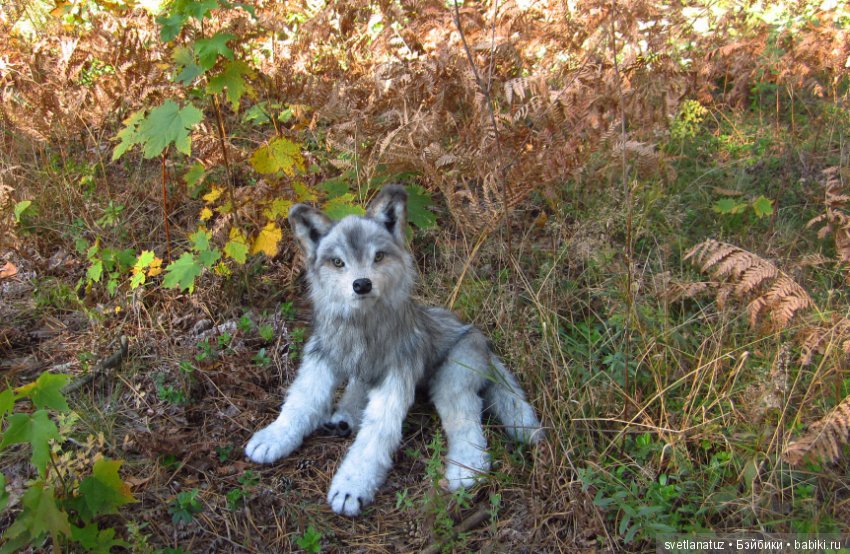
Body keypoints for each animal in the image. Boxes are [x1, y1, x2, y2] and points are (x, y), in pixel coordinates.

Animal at [245, 185, 542, 516]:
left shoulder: (394, 382)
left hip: (451, 382)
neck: (362, 327)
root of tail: (482, 342)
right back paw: (343, 417)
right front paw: (275, 437)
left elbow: (375, 437)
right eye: (338, 262)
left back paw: (467, 470)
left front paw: (352, 485)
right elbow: (300, 403)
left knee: (466, 424)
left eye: (378, 256)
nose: (361, 284)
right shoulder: (321, 359)